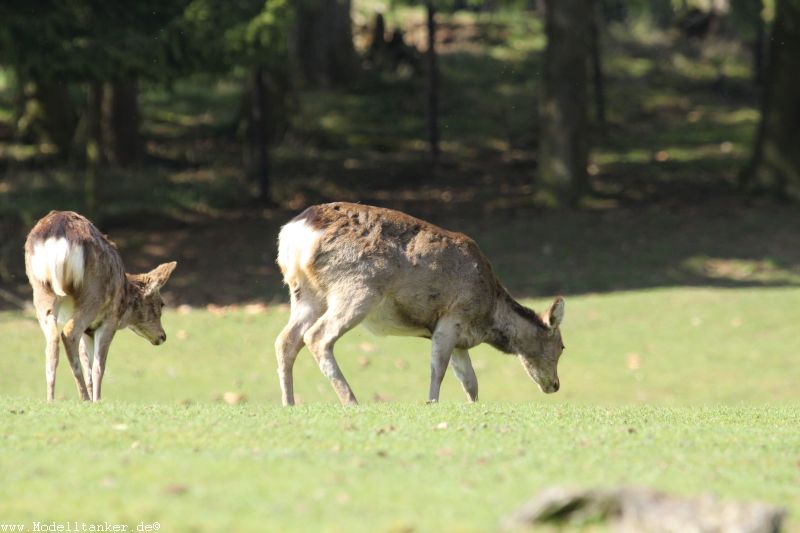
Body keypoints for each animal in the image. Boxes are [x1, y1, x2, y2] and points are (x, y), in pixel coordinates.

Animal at [24, 210, 177, 402]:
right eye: (162, 304)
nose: (163, 336)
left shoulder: (89, 330)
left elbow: (88, 364)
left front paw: (93, 398)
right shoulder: (109, 320)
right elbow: (99, 366)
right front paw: (97, 400)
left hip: (40, 290)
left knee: (52, 340)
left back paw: (51, 400)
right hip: (92, 293)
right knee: (68, 333)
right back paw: (83, 397)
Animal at [278, 202, 564, 406]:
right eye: (562, 346)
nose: (555, 385)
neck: (488, 315)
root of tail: (295, 233)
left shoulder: (459, 338)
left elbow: (470, 380)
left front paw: (473, 406)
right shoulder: (453, 315)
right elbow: (438, 368)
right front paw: (432, 403)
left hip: (305, 293)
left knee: (286, 340)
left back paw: (289, 403)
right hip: (356, 289)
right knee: (317, 336)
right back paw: (351, 401)